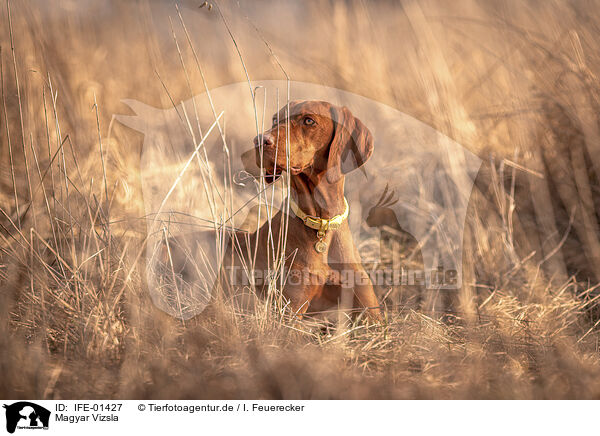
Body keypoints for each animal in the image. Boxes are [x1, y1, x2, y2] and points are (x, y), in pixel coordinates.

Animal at [164, 101, 380, 320]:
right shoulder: (290, 314)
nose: (260, 140)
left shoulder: (372, 315)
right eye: (276, 119)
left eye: (309, 120)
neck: (321, 224)